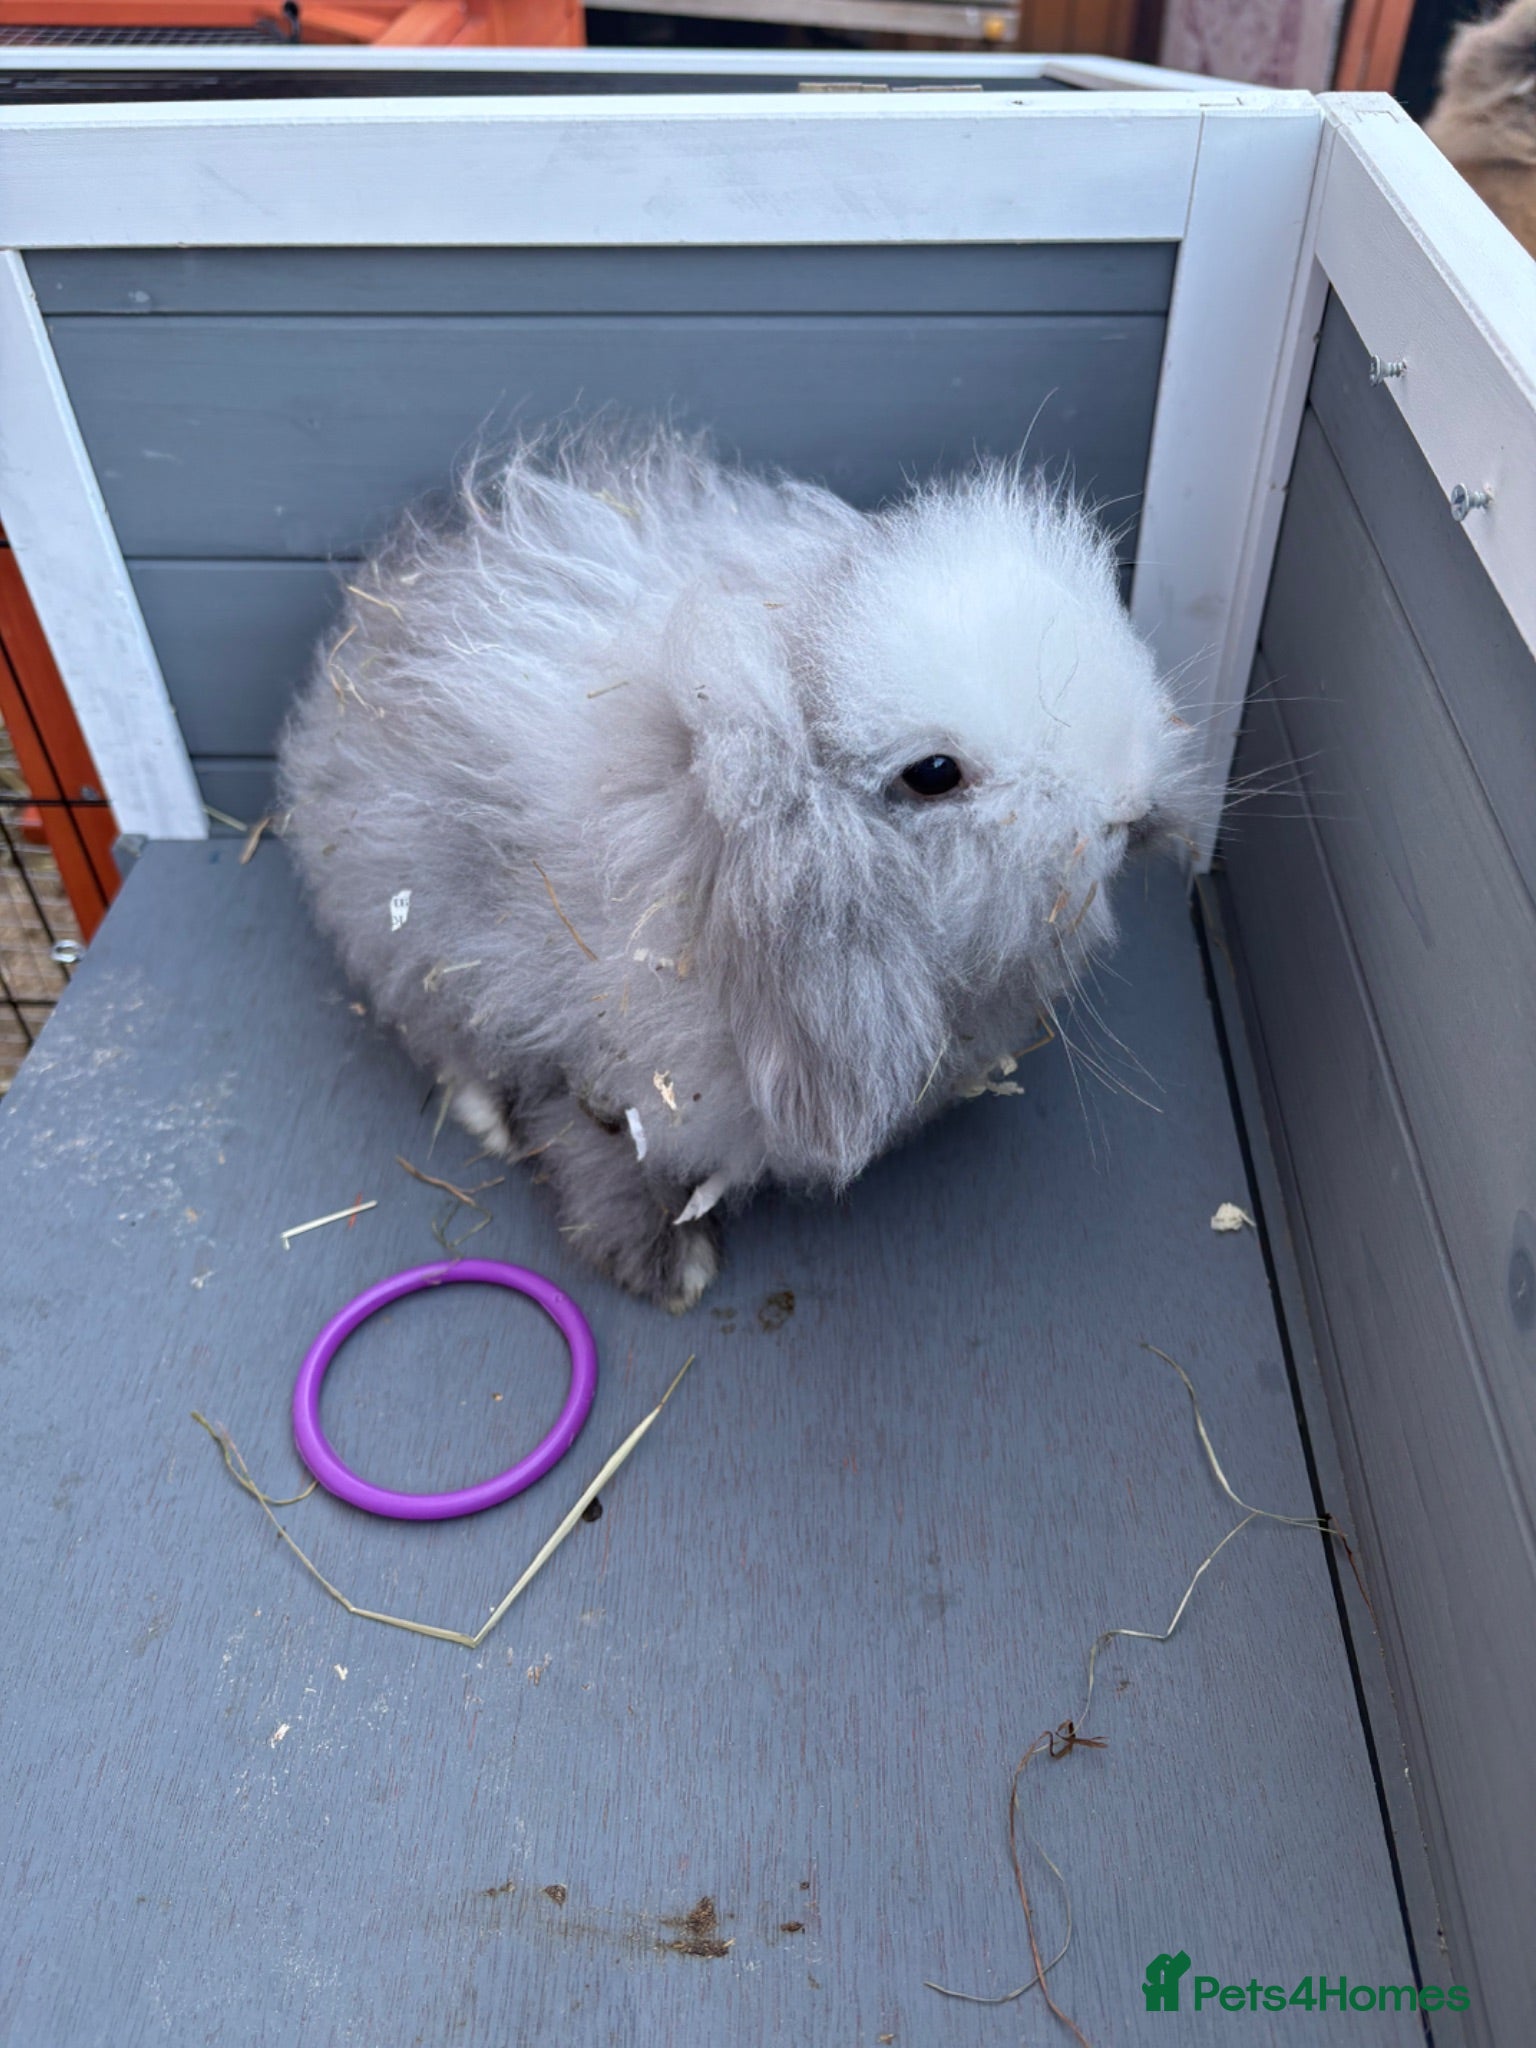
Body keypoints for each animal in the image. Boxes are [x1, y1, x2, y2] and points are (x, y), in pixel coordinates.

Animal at [277, 418, 1198, 1312]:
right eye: (935, 773)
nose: (1131, 806)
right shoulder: (619, 1065)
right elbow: (599, 1148)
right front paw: (669, 1269)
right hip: (410, 926)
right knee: (443, 1035)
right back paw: (487, 1117)